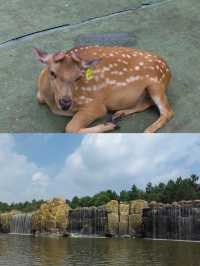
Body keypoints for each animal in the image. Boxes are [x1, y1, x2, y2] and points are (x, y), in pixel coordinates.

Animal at [32, 46, 173, 133]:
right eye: (52, 73)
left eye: (78, 77)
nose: (65, 103)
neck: (52, 102)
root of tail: (168, 70)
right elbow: (38, 98)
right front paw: (111, 123)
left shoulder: (95, 105)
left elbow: (70, 128)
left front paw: (109, 126)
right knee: (147, 103)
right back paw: (119, 114)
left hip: (156, 85)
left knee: (167, 111)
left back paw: (147, 130)